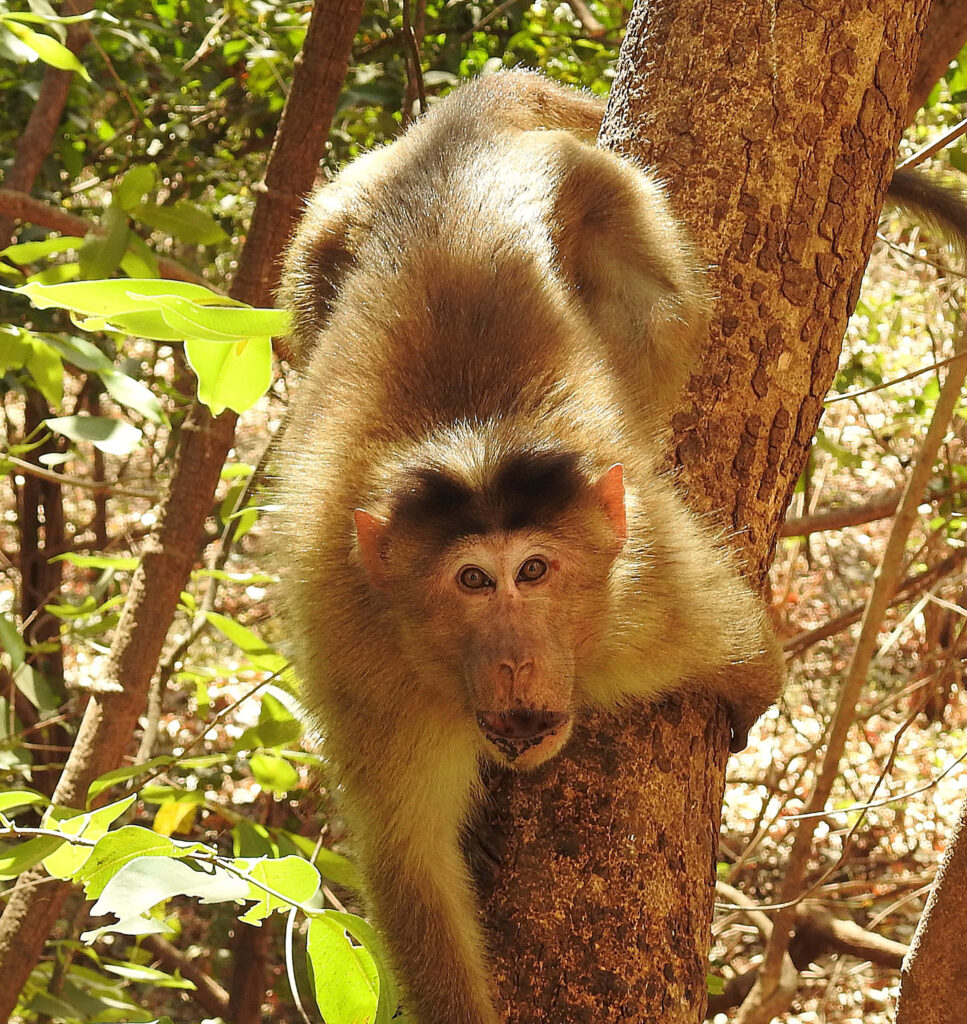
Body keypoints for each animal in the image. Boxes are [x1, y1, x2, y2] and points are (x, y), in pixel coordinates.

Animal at [273, 69, 782, 1024]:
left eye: (534, 571)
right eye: (473, 580)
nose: (513, 660)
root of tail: (457, 127)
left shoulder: (649, 610)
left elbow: (746, 656)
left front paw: (750, 703)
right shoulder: (367, 664)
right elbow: (412, 868)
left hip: (606, 191)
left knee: (660, 316)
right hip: (334, 215)